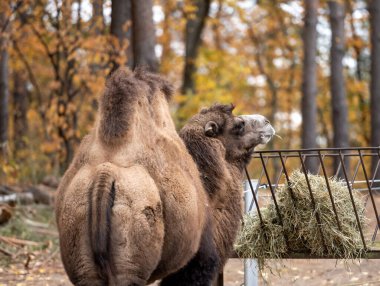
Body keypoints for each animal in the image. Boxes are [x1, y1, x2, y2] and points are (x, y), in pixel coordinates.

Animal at [55, 68, 274, 284]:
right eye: (239, 125)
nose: (267, 122)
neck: (208, 189)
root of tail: (105, 173)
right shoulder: (199, 261)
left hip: (83, 260)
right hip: (130, 260)